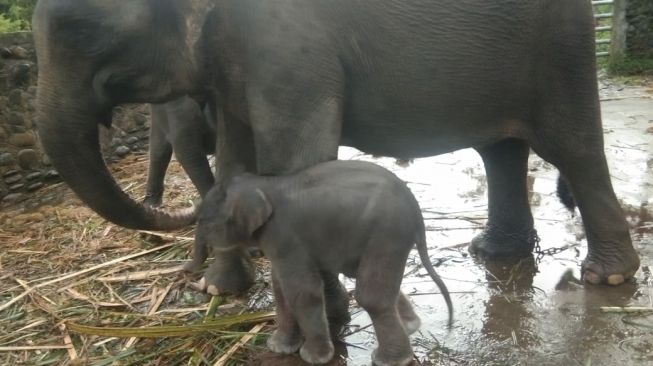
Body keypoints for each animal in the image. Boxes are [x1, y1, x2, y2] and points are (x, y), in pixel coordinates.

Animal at [33, 0, 640, 288]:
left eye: (81, 29)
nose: (186, 258)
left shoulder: (290, 46)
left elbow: (294, 158)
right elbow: (232, 157)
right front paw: (217, 292)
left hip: (560, 49)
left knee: (572, 148)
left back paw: (606, 277)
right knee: (502, 150)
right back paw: (493, 253)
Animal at [192, 161, 454, 366]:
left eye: (203, 221)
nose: (194, 279)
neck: (265, 184)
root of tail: (416, 211)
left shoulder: (284, 234)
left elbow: (303, 291)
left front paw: (313, 358)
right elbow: (280, 288)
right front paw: (278, 347)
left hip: (386, 234)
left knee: (371, 296)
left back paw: (388, 360)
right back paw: (411, 327)